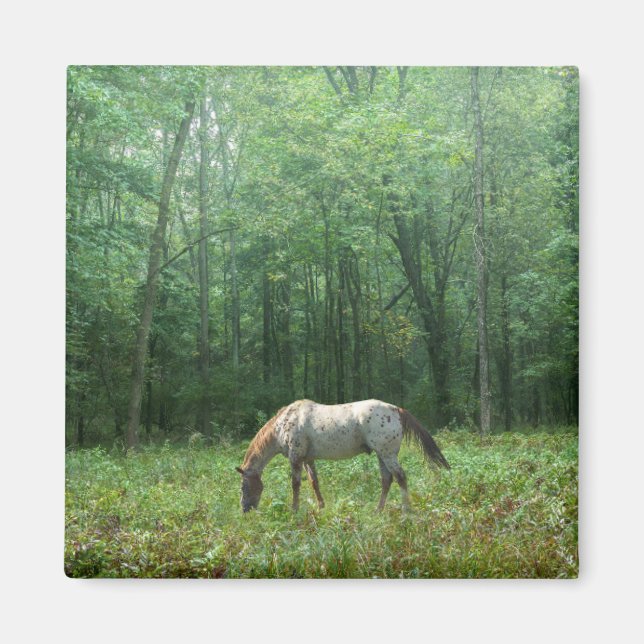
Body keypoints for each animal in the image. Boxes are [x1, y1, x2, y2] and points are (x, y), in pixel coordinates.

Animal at [235, 399, 450, 513]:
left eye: (243, 486)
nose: (245, 509)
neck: (283, 424)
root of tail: (396, 410)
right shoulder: (308, 459)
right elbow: (314, 482)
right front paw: (321, 506)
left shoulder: (295, 458)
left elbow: (295, 484)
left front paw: (294, 510)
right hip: (382, 455)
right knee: (387, 480)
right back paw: (378, 510)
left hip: (387, 454)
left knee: (400, 477)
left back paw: (406, 509)